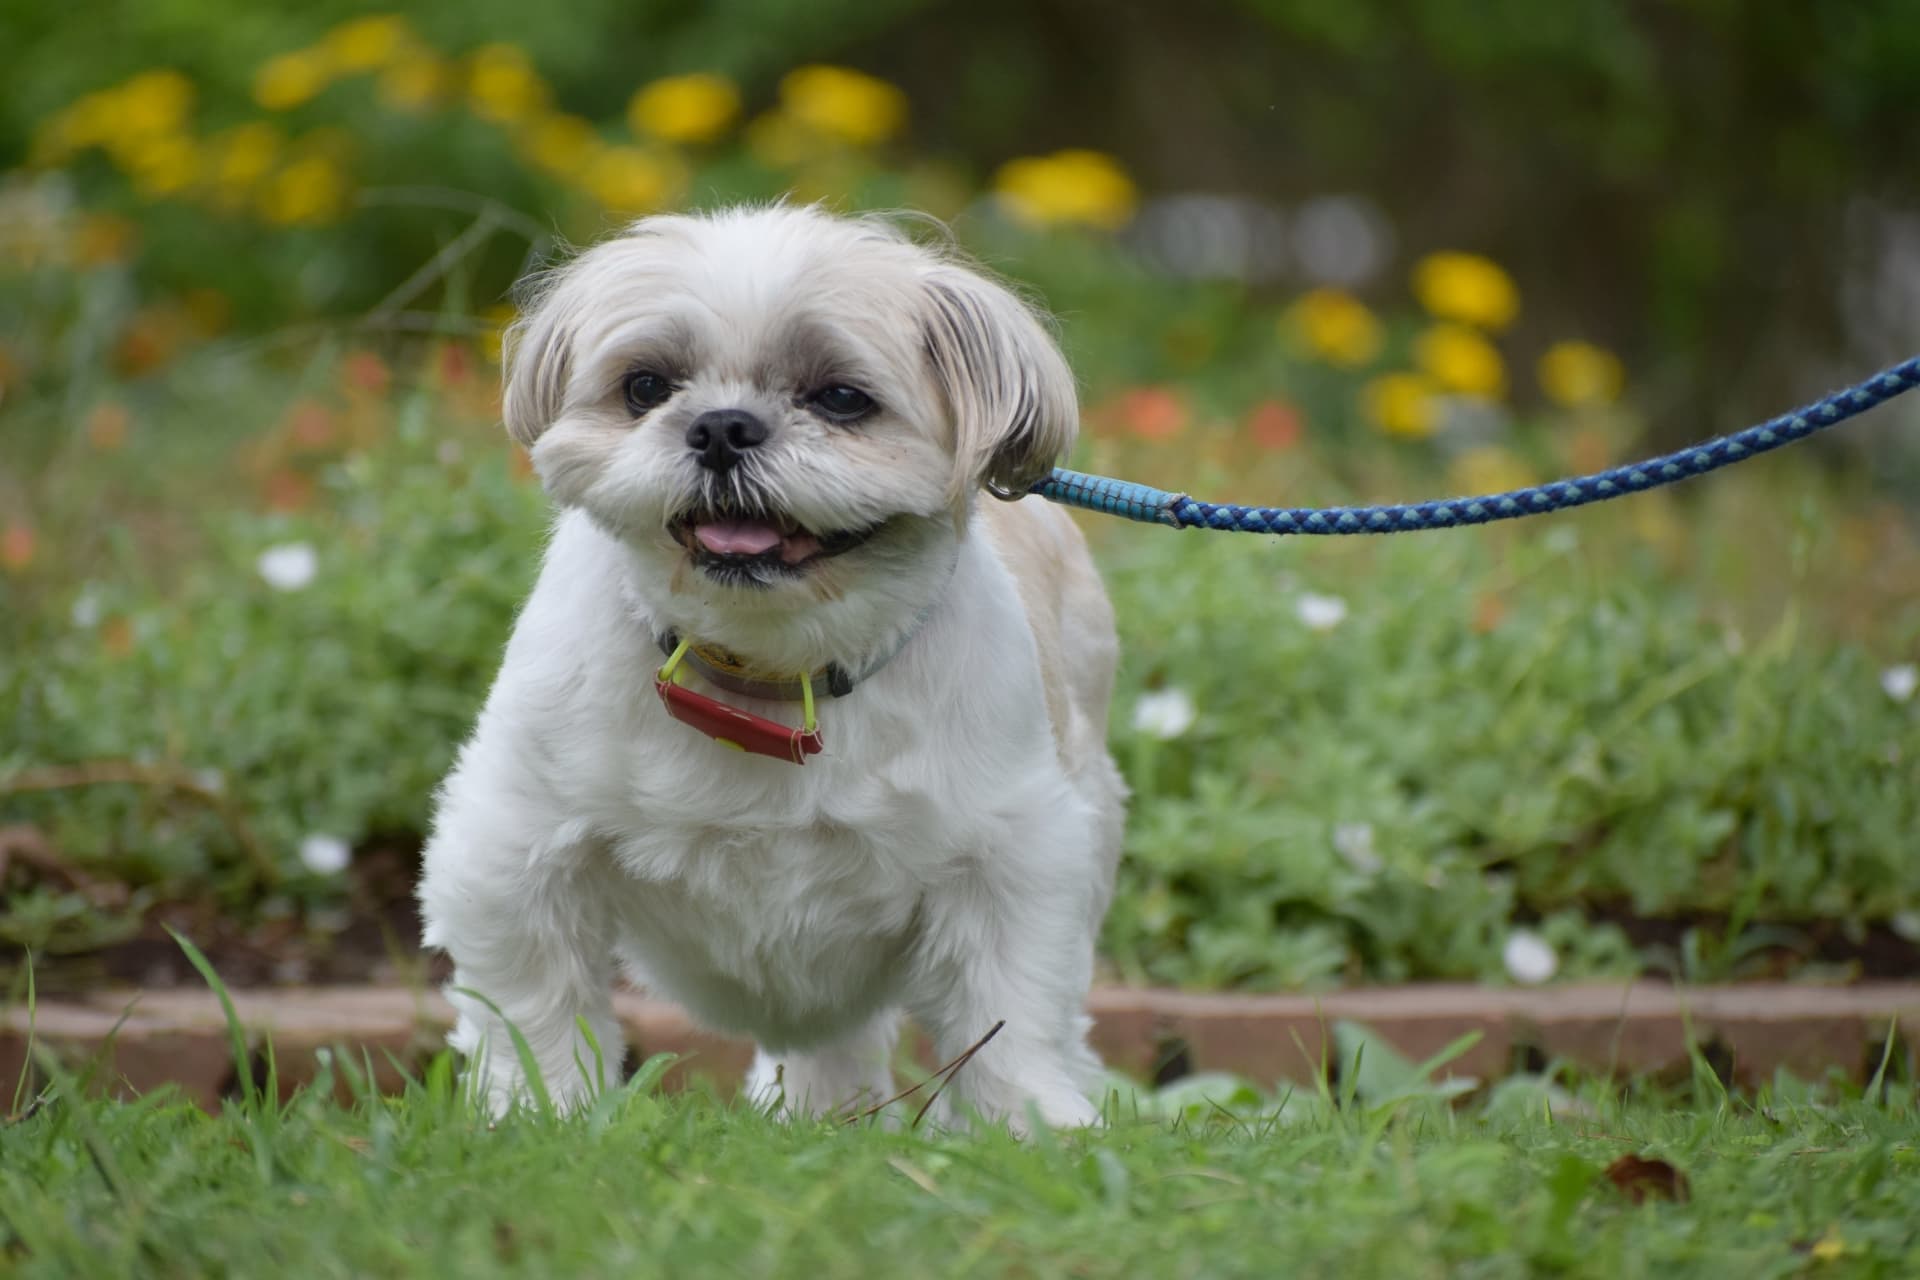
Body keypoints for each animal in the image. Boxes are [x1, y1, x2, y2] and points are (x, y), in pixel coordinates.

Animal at [420, 208, 1121, 1128]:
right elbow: (533, 1003)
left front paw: (1035, 1126)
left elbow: (1011, 1013)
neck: (764, 671)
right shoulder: (516, 842)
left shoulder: (1012, 856)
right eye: (645, 387)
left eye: (841, 399)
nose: (721, 425)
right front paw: (535, 1115)